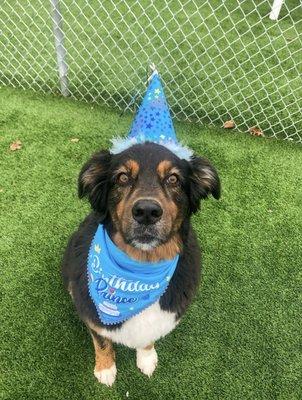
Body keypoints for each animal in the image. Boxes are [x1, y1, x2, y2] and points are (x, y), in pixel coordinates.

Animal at [61, 142, 221, 386]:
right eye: (122, 177)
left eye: (173, 179)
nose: (147, 211)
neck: (142, 265)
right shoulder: (92, 314)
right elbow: (102, 342)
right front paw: (105, 368)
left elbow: (147, 338)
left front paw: (146, 359)